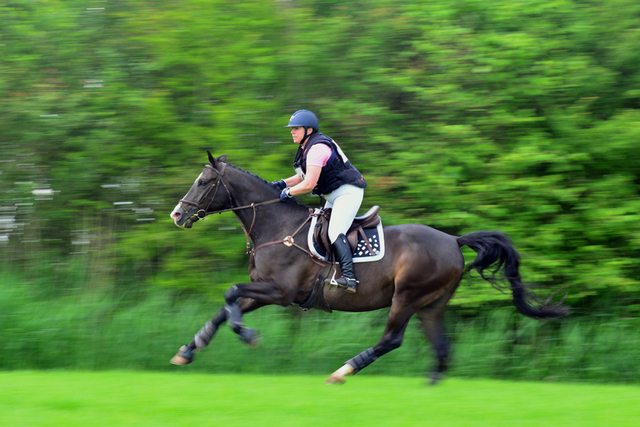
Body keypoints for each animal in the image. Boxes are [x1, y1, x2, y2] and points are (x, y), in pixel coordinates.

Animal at [168, 151, 568, 384]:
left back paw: (343, 371)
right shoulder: (264, 290)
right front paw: (188, 350)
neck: (275, 225)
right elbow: (225, 308)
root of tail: (454, 241)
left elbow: (230, 294)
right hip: (432, 304)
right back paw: (430, 385)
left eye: (203, 182)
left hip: (407, 296)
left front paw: (248, 336)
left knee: (392, 339)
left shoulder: (280, 292)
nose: (177, 215)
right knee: (441, 345)